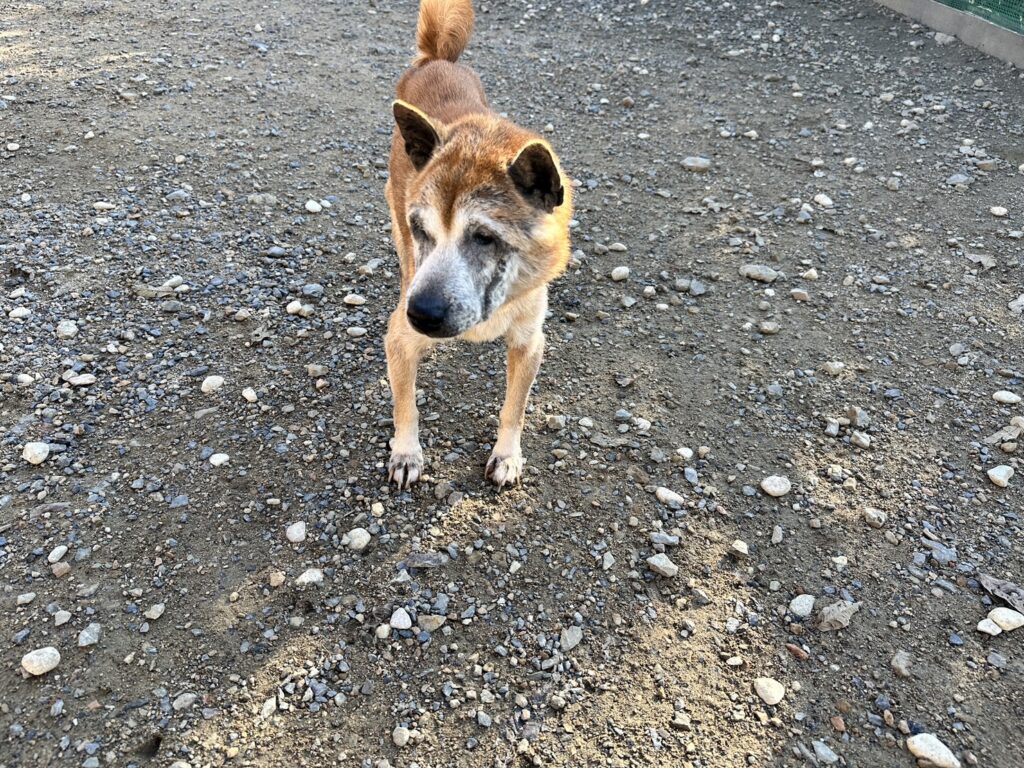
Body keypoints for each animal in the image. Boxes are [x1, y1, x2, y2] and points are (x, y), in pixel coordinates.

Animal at [383, 0, 572, 489]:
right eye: (421, 229)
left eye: (484, 237)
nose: (420, 313)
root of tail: (437, 59)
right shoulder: (399, 339)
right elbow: (406, 405)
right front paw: (405, 452)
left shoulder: (529, 342)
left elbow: (514, 410)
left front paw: (507, 455)